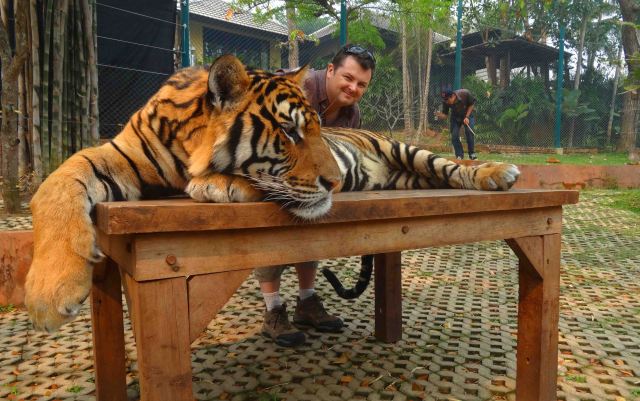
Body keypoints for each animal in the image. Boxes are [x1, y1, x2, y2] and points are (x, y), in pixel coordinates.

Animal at [24, 54, 519, 332]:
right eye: (289, 131)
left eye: (317, 128)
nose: (336, 183)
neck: (186, 143)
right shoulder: (115, 154)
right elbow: (56, 183)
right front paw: (49, 292)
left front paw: (216, 182)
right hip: (405, 176)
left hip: (406, 151)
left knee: (452, 167)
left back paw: (497, 172)